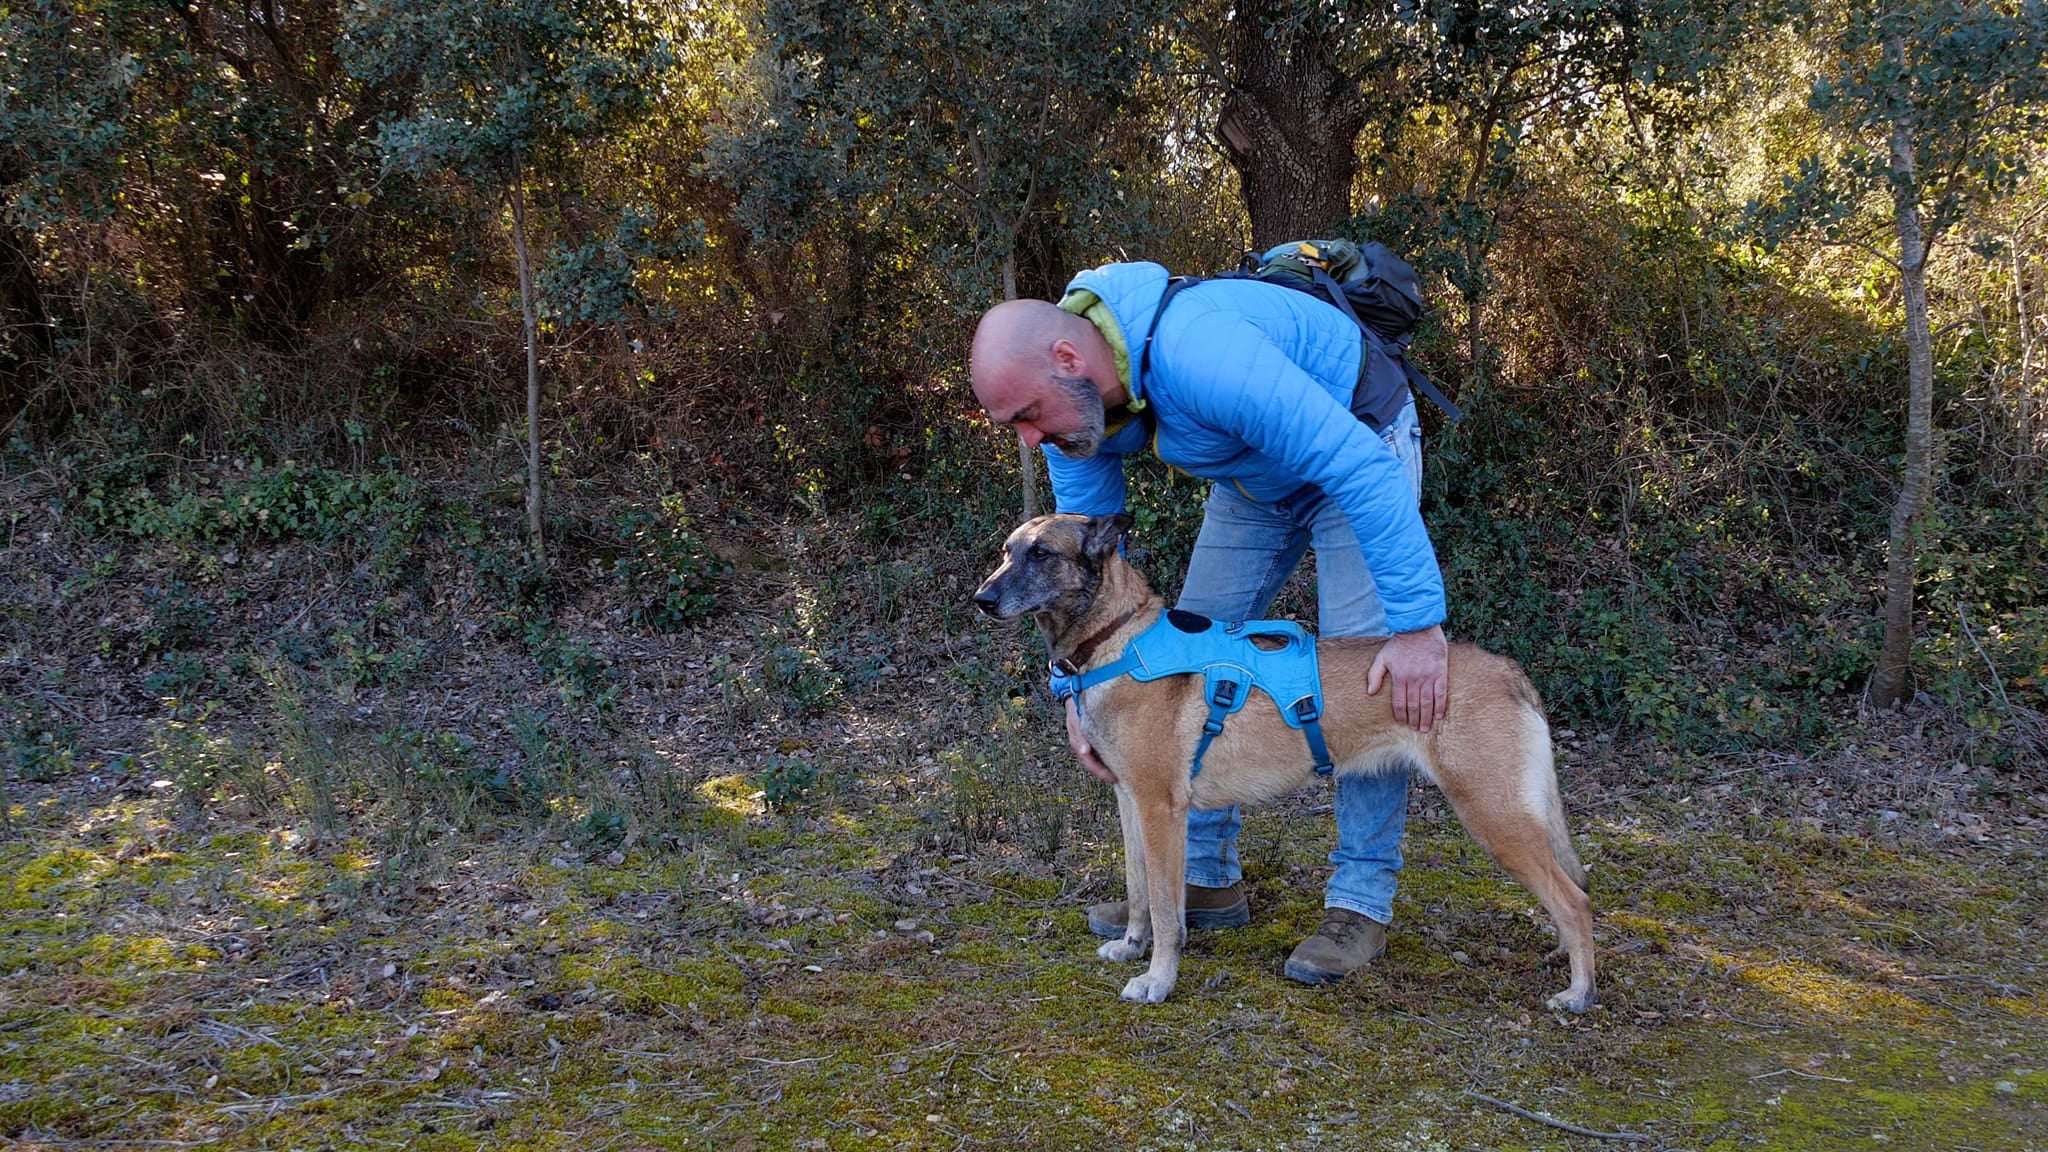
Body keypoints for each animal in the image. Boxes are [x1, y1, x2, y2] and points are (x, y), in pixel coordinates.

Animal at [974, 510, 1597, 1004]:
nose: (981, 599)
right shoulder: (1131, 804)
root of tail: (1509, 670)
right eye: (1007, 551)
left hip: (1494, 817)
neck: (1118, 639)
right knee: (1568, 893)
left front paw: (1158, 980)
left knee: (1576, 902)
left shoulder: (1160, 811)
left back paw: (1579, 991)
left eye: (1042, 553)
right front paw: (1131, 946)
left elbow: (1168, 913)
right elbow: (1139, 893)